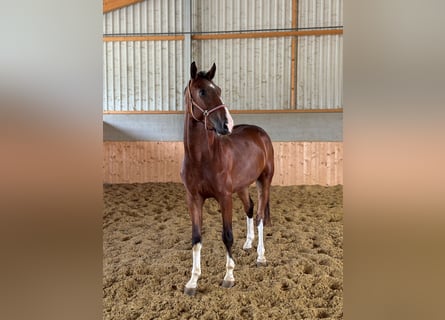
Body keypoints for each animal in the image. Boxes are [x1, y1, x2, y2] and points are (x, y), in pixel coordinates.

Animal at [179, 62, 272, 296]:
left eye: (219, 90)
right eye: (202, 91)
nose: (227, 124)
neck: (202, 158)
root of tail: (260, 133)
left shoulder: (224, 197)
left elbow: (227, 235)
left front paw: (229, 276)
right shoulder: (193, 199)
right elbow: (196, 238)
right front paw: (193, 281)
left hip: (264, 181)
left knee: (259, 216)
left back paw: (261, 256)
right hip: (242, 187)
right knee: (250, 208)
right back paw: (248, 244)